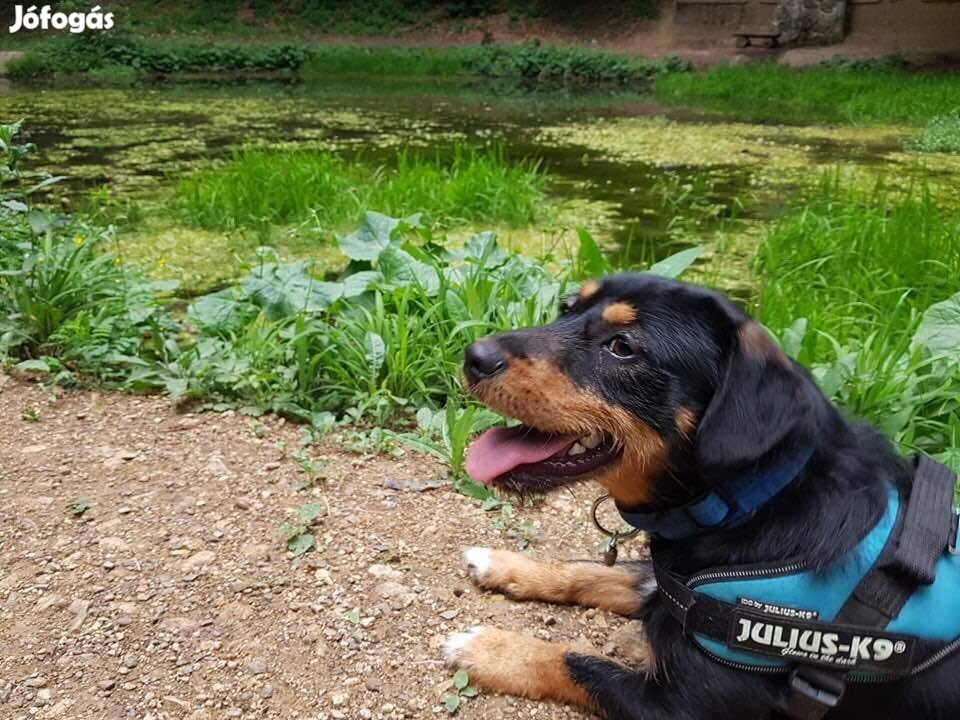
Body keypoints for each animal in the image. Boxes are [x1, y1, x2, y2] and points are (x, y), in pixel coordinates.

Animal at [442, 272, 960, 716]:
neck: (753, 502)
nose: (474, 355)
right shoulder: (669, 586)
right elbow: (594, 572)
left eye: (623, 347)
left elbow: (578, 662)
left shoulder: (684, 706)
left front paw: (489, 648)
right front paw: (505, 564)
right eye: (566, 308)